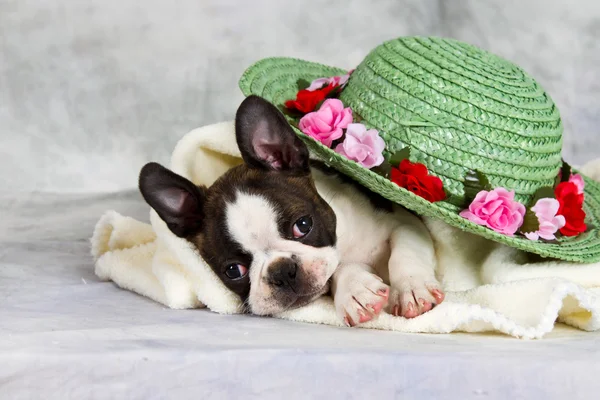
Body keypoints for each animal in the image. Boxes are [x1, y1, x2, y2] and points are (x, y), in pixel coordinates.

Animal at [138, 96, 442, 324]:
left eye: (303, 225)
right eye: (234, 271)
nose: (282, 271)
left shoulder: (403, 220)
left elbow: (405, 252)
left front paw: (412, 289)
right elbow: (337, 268)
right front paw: (355, 290)